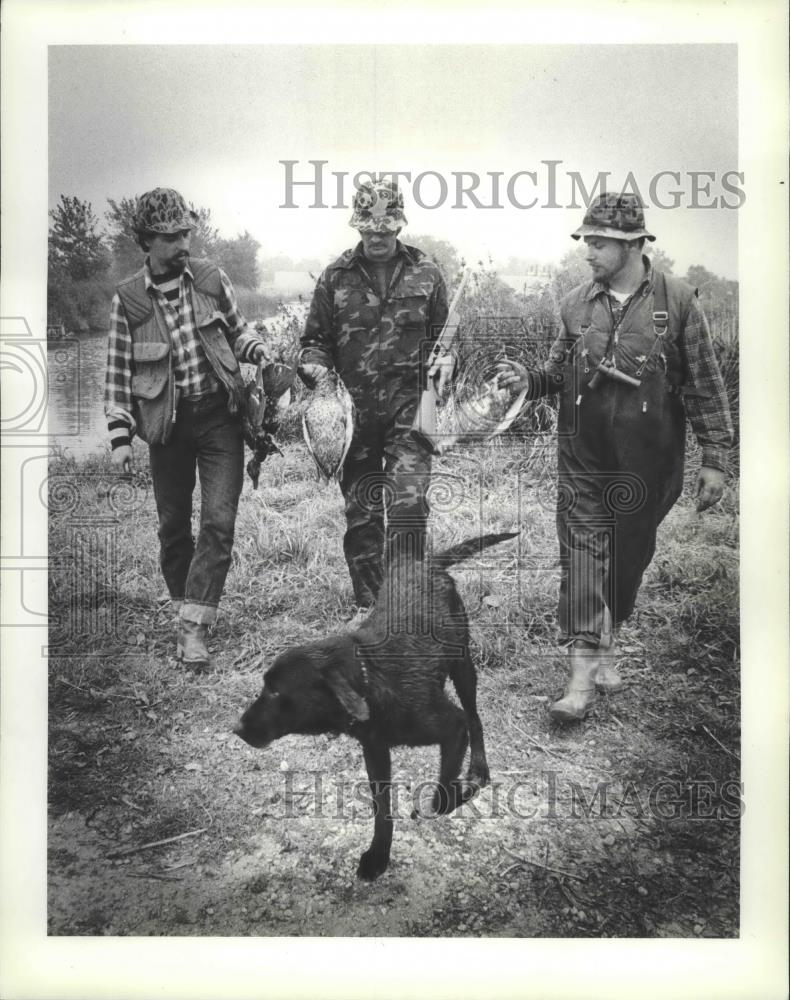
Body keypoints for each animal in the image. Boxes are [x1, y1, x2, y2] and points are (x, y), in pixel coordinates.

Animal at [235, 536, 520, 880]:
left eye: (276, 691)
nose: (237, 728)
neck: (370, 680)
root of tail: (425, 563)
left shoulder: (453, 727)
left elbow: (441, 798)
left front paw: (456, 797)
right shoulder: (375, 751)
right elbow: (382, 811)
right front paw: (378, 856)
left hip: (463, 665)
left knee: (475, 718)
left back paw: (478, 770)